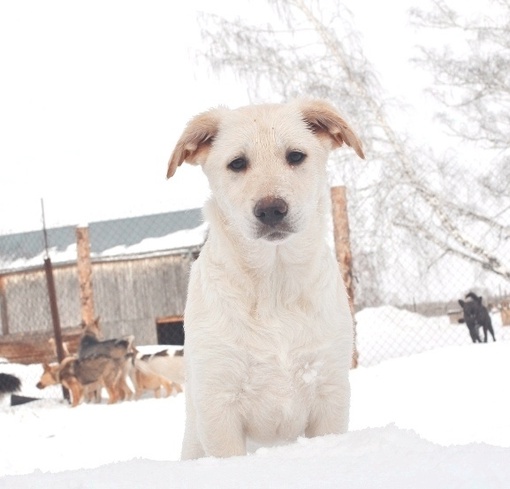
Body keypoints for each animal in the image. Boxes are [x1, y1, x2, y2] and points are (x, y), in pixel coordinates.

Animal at [167, 98, 362, 458]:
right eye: (237, 163)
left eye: (296, 156)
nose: (271, 209)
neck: (274, 285)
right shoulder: (218, 403)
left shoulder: (330, 391)